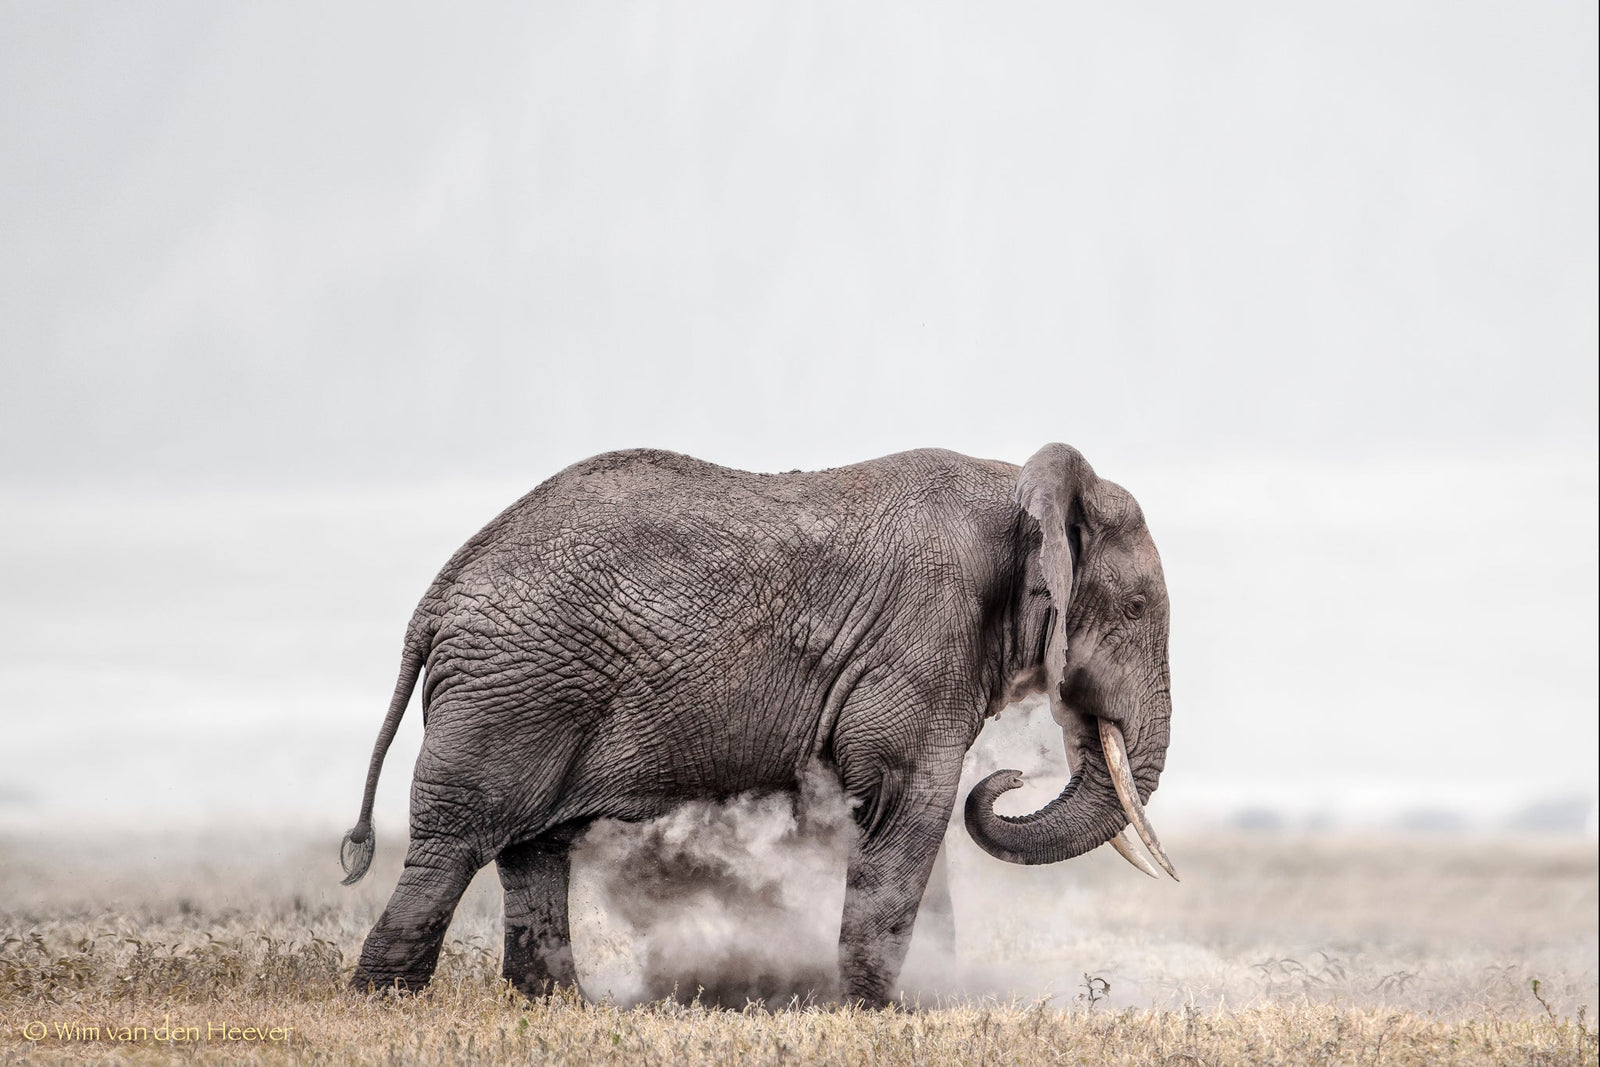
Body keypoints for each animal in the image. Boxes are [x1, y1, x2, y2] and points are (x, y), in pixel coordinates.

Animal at [339, 442, 1176, 1007]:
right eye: (1136, 609)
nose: (1011, 776)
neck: (1015, 485)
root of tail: (437, 596)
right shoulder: (924, 640)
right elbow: (912, 804)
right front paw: (879, 1010)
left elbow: (903, 821)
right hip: (511, 695)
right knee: (455, 843)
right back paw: (386, 999)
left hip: (530, 694)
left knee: (531, 849)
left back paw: (556, 1005)